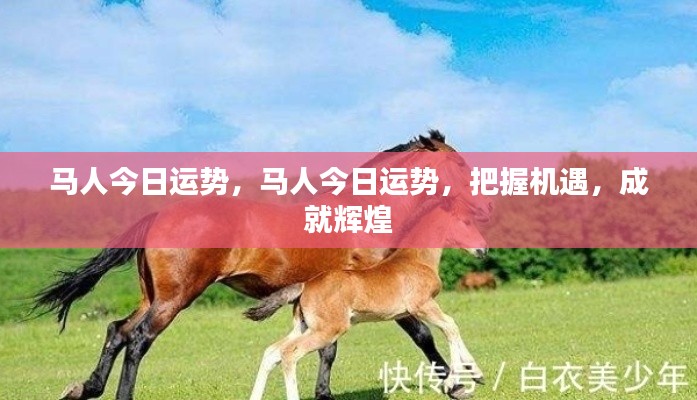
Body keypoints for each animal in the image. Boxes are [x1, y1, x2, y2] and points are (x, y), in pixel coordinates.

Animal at [243, 200, 486, 400]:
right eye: (466, 222)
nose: (483, 249)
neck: (417, 260)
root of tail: (305, 285)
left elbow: (450, 327)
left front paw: (476, 374)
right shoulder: (421, 305)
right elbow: (450, 327)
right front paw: (455, 381)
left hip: (304, 327)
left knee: (272, 352)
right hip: (328, 329)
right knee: (289, 354)